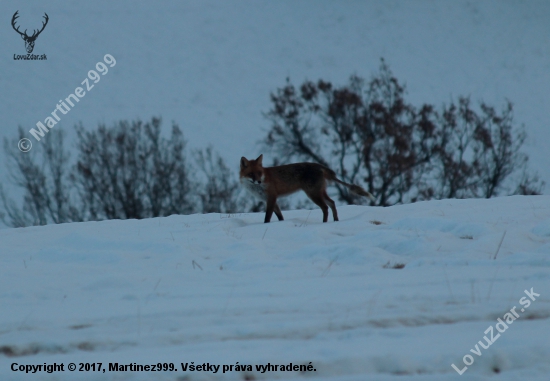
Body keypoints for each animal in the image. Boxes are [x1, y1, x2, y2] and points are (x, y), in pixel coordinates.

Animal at [239, 155, 378, 223]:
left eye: (259, 173)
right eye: (251, 174)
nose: (258, 181)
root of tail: (319, 166)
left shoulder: (272, 198)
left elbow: (267, 217)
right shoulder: (271, 200)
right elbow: (280, 216)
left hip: (313, 194)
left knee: (325, 207)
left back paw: (324, 223)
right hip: (320, 192)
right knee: (332, 203)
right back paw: (336, 221)